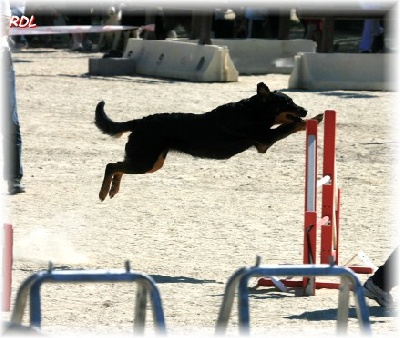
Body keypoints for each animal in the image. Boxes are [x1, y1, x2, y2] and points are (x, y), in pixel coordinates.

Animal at [95, 82, 324, 201]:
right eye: (288, 103)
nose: (304, 110)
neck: (253, 112)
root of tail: (140, 122)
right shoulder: (264, 140)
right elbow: (289, 126)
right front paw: (314, 118)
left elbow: (289, 126)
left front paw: (312, 117)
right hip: (146, 162)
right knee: (111, 165)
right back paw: (104, 192)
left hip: (152, 163)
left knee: (118, 167)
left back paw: (113, 190)